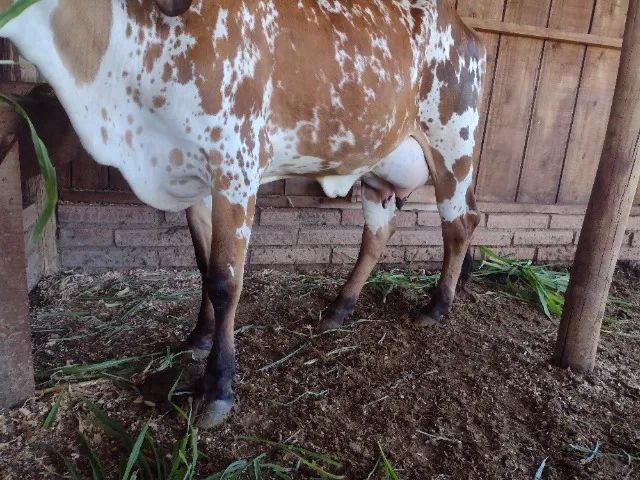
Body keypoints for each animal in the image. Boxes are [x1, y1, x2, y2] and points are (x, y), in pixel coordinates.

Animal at [0, 0, 486, 427]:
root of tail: (466, 29)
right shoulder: (194, 179)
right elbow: (203, 266)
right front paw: (198, 337)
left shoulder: (235, 167)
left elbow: (225, 280)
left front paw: (217, 387)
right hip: (379, 170)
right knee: (379, 234)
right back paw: (339, 308)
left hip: (452, 144)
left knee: (461, 224)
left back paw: (436, 306)